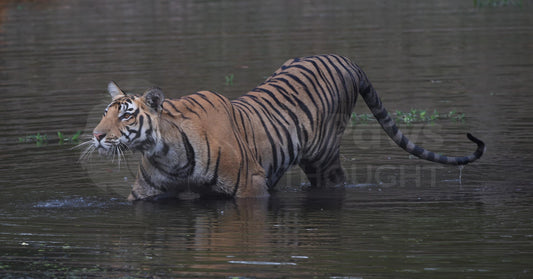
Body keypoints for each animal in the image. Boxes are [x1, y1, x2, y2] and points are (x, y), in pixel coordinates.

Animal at [81, 54, 484, 201]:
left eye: (127, 115)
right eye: (104, 113)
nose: (96, 135)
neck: (165, 151)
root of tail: (346, 59)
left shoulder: (249, 189)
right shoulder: (144, 195)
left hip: (322, 158)